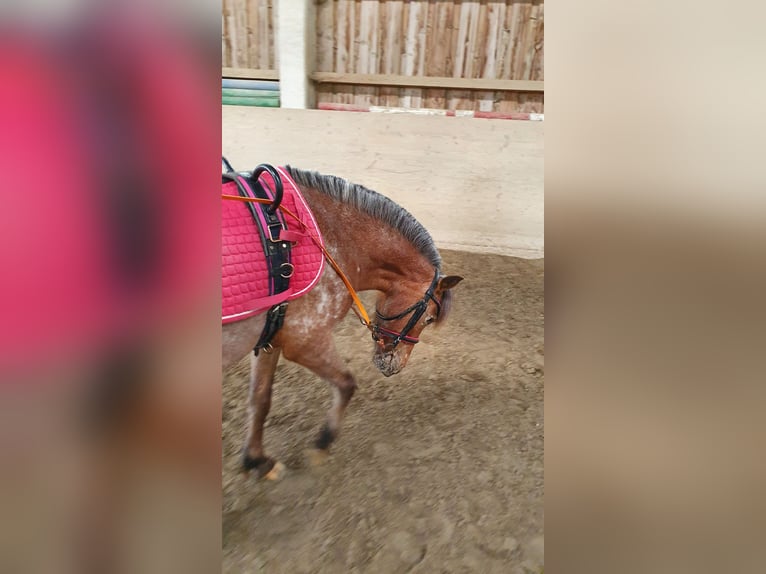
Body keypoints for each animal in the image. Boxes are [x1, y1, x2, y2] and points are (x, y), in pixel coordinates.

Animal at [222, 166, 462, 482]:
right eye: (430, 318)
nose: (394, 366)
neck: (326, 238)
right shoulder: (306, 341)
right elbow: (347, 384)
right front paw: (322, 444)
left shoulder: (272, 337)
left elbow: (260, 398)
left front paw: (256, 461)